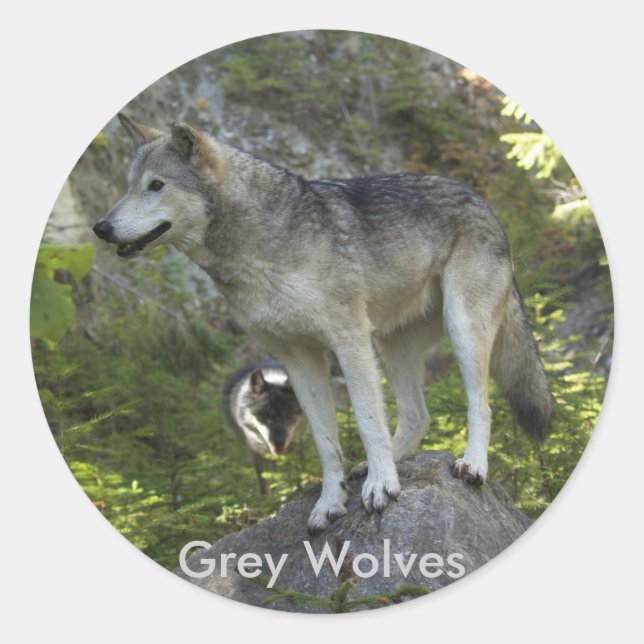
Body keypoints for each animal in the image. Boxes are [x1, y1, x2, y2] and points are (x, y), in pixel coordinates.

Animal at [222, 359, 303, 494]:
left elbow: (298, 472)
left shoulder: (296, 445)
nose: (279, 442)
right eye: (265, 416)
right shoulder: (256, 451)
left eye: (288, 415)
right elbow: (266, 484)